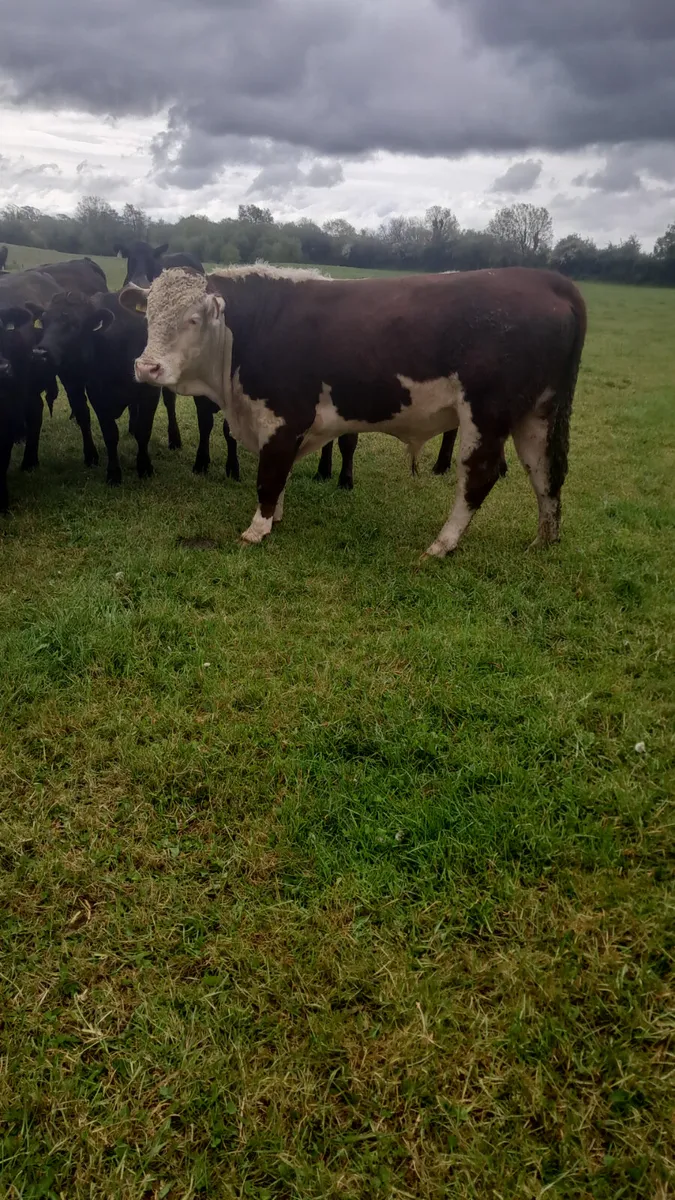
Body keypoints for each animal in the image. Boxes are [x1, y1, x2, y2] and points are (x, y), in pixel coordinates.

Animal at [121, 265, 586, 557]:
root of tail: (546, 279)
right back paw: (544, 541)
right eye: (150, 316)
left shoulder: (282, 417)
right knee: (545, 472)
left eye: (193, 318)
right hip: (537, 414)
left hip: (487, 413)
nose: (146, 367)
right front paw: (277, 519)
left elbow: (269, 477)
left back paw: (442, 545)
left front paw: (257, 529)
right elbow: (280, 474)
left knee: (479, 476)